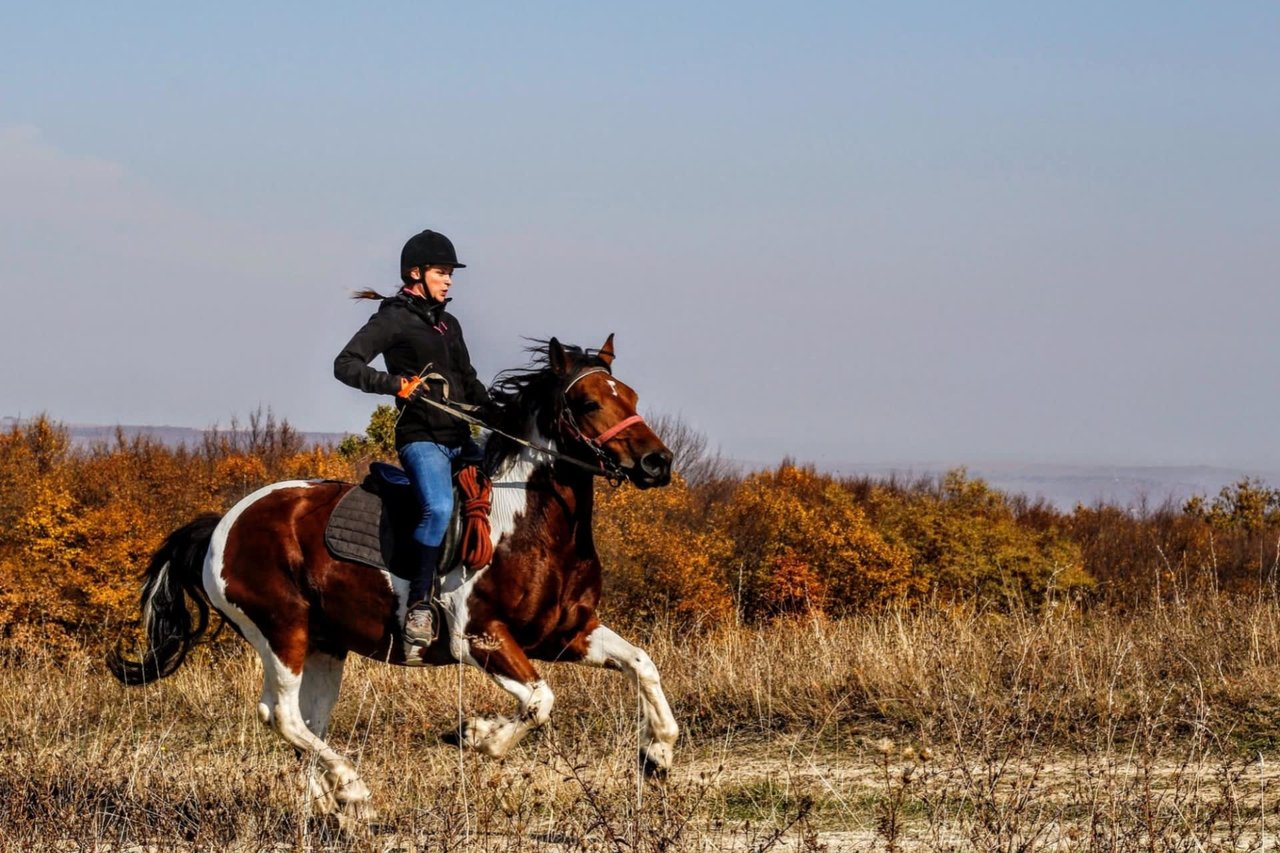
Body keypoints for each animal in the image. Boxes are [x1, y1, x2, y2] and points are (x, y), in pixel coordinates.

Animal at [107, 330, 680, 809]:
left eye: (630, 397)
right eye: (588, 402)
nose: (658, 463)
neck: (528, 523)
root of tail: (223, 523)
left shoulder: (567, 633)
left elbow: (642, 664)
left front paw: (658, 755)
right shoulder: (480, 638)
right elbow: (541, 700)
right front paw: (476, 735)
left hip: (325, 644)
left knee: (307, 723)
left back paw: (331, 809)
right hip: (281, 630)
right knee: (283, 716)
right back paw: (352, 789)